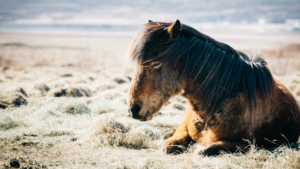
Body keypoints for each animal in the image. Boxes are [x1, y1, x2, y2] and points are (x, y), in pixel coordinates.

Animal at [125, 19, 300, 156]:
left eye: (155, 63)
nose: (133, 108)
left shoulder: (246, 143)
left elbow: (207, 149)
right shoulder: (186, 128)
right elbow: (171, 143)